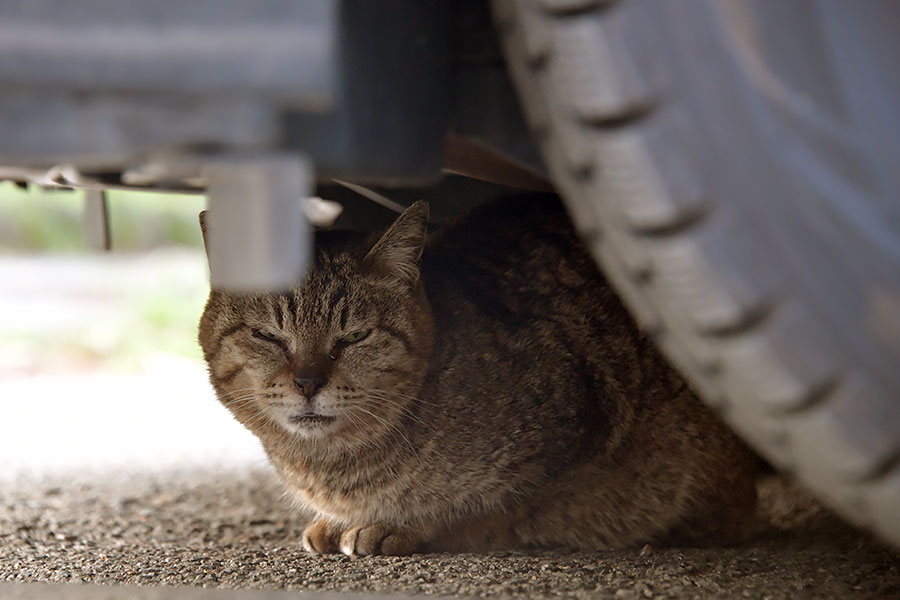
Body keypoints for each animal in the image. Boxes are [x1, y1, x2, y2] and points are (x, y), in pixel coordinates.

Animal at [199, 195, 760, 556]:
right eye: (269, 336)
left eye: (354, 337)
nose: (308, 383)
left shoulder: (578, 432)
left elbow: (488, 510)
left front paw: (396, 527)